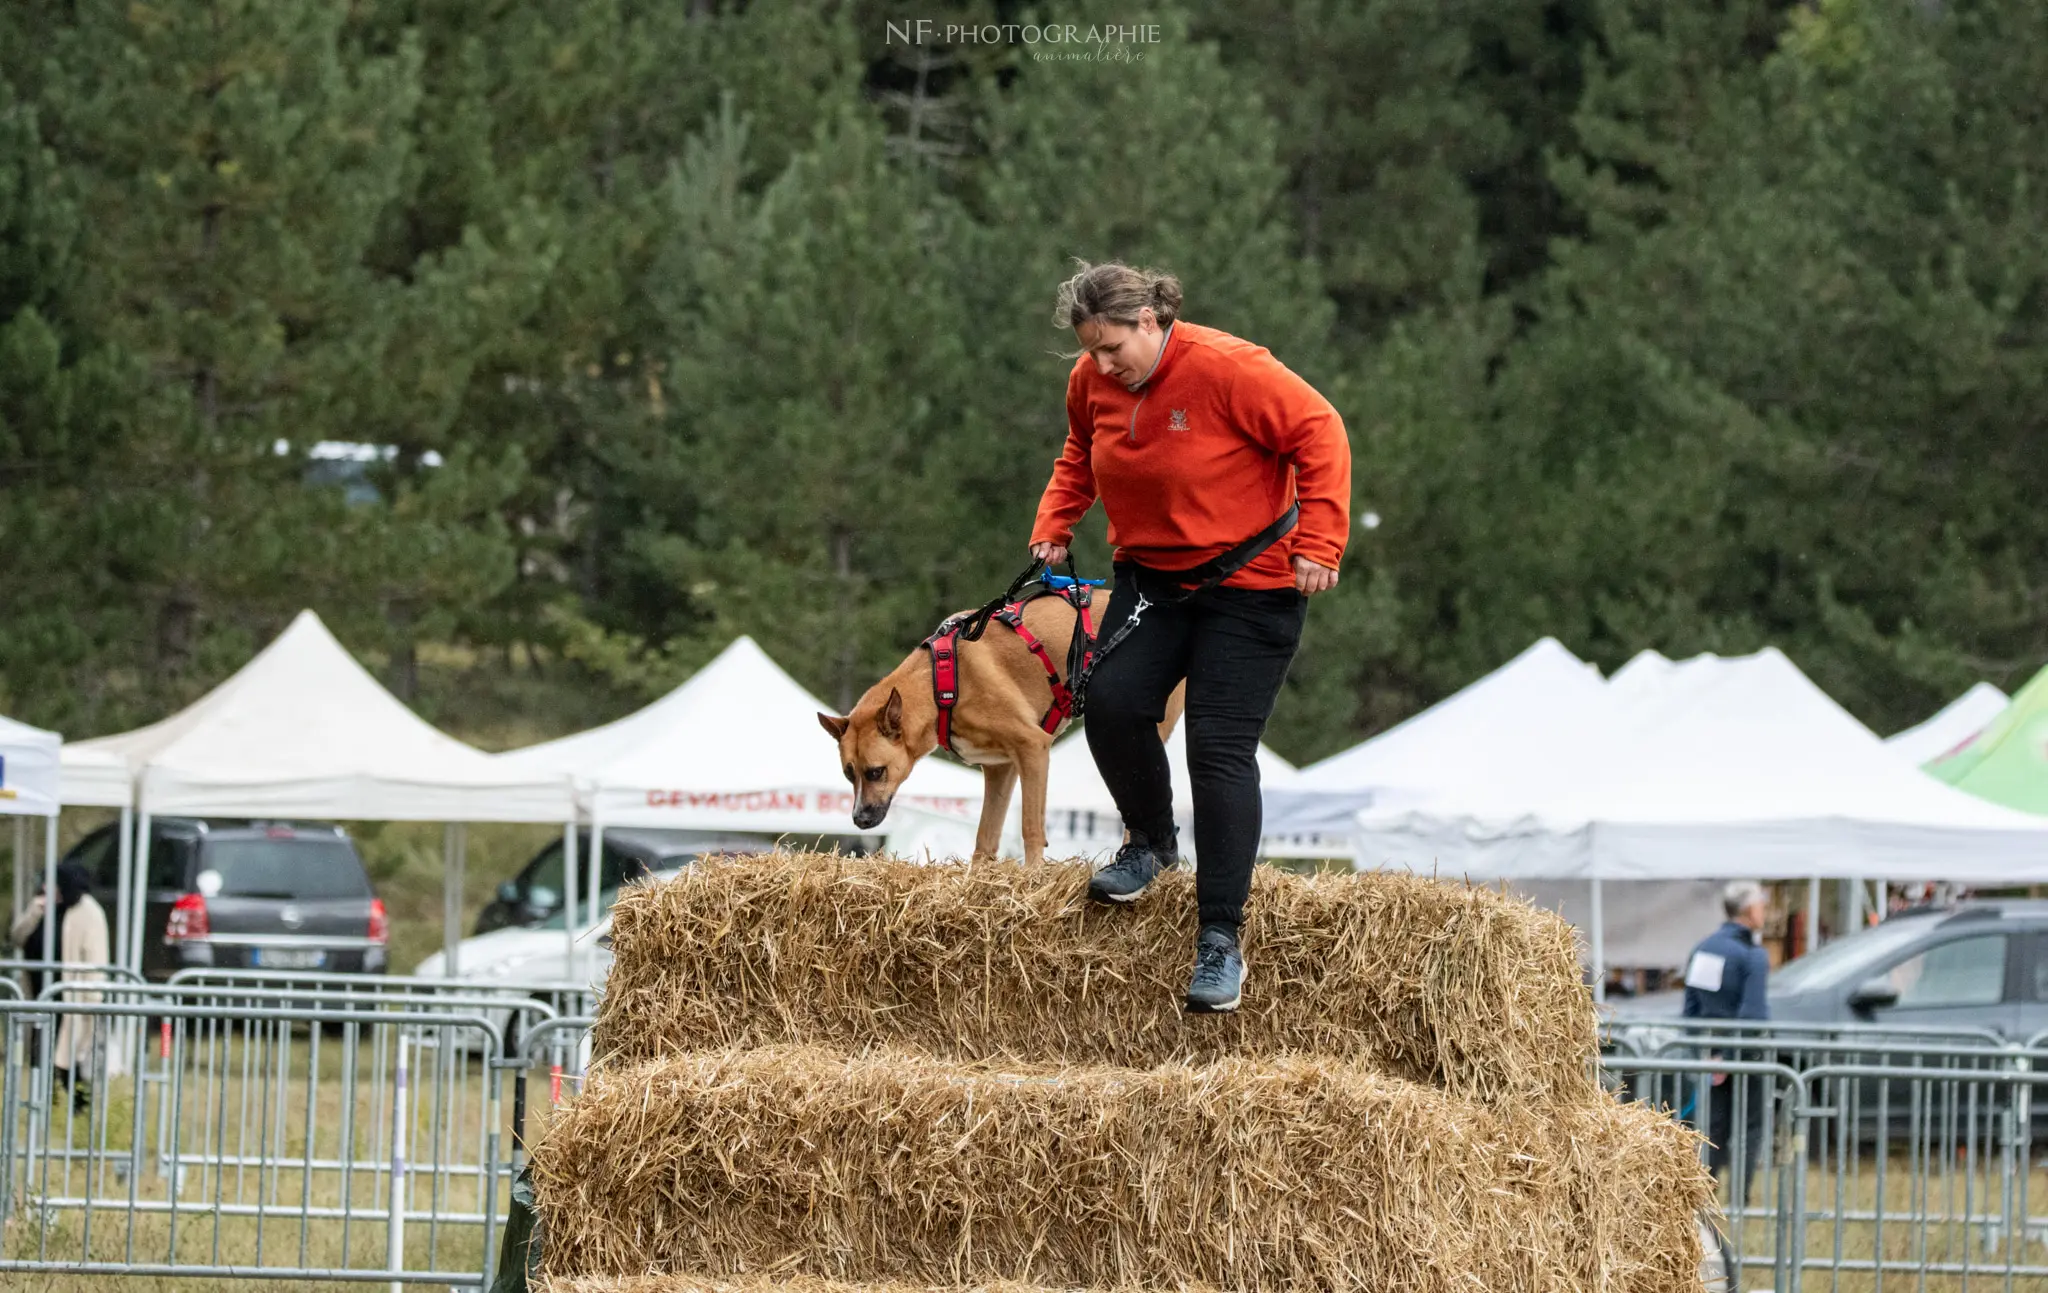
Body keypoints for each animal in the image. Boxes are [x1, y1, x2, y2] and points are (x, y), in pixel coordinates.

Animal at [819, 590, 1187, 864]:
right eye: (849, 774)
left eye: (876, 772)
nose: (859, 820)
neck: (941, 684)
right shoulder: (1001, 768)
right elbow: (985, 839)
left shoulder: (1033, 747)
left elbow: (1031, 829)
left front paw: (1033, 877)